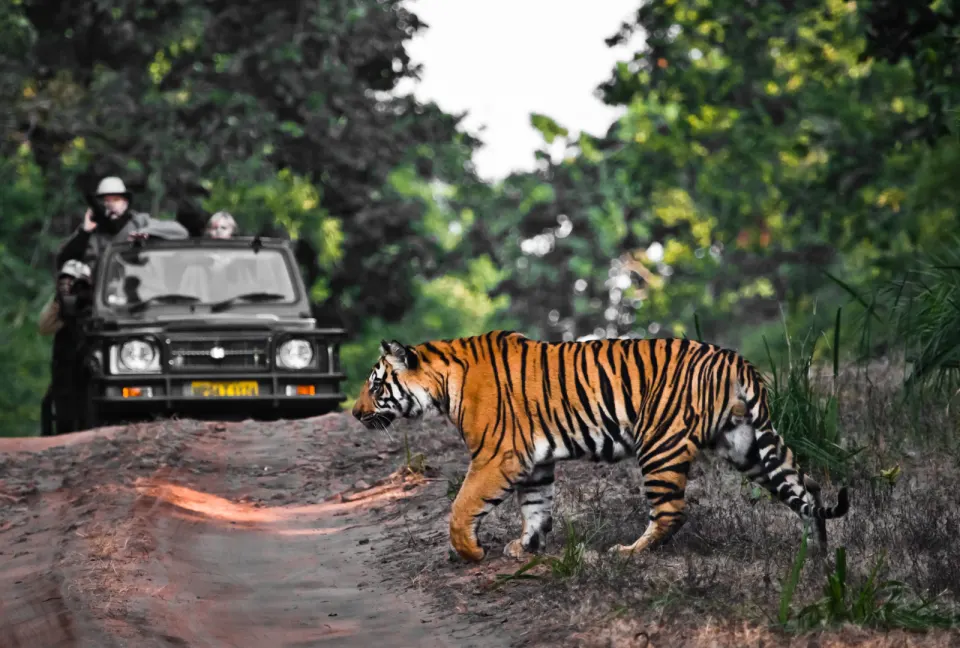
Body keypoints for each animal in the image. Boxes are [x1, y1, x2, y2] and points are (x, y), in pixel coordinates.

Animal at [351, 330, 849, 563]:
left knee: (671, 511)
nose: (355, 413)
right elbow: (536, 507)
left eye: (375, 385)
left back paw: (630, 553)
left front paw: (471, 553)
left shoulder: (497, 456)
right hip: (746, 445)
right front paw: (526, 547)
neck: (444, 383)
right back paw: (818, 553)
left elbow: (461, 507)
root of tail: (735, 359)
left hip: (660, 445)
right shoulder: (533, 461)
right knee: (805, 488)